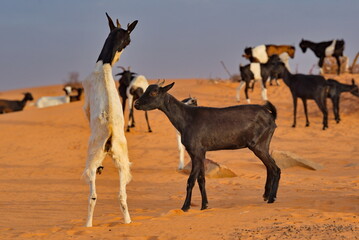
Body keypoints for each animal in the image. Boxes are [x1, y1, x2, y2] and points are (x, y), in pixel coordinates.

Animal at [81, 12, 138, 227]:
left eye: (128, 40)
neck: (104, 65)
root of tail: (111, 133)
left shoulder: (86, 103)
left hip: (92, 156)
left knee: (93, 194)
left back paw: (88, 225)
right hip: (123, 160)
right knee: (122, 195)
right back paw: (127, 222)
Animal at [135, 81, 282, 211]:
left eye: (154, 92)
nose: (136, 103)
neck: (187, 119)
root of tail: (271, 116)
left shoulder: (196, 152)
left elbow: (190, 180)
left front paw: (185, 207)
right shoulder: (200, 153)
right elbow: (201, 179)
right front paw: (204, 205)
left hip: (258, 145)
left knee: (275, 168)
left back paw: (272, 198)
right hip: (262, 145)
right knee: (270, 167)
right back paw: (266, 195)